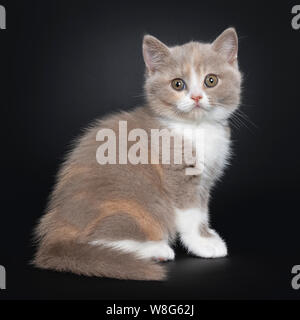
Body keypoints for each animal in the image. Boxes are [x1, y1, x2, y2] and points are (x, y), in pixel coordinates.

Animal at [34, 28, 243, 282]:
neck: (196, 128)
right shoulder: (178, 175)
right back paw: (155, 250)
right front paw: (202, 244)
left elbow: (202, 211)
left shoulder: (205, 181)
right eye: (178, 84)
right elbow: (191, 214)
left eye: (210, 80)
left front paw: (208, 235)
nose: (196, 97)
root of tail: (55, 232)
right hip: (136, 204)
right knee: (95, 240)